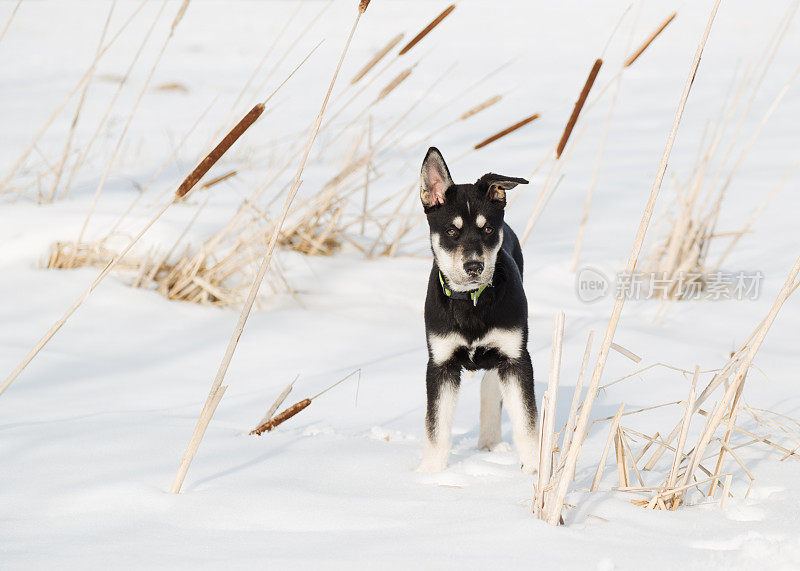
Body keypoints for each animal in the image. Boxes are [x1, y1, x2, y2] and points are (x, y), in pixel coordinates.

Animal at [418, 146, 536, 474]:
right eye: (451, 231)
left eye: (488, 229)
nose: (474, 267)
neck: (471, 301)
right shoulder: (440, 364)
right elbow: (435, 428)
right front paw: (429, 475)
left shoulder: (517, 358)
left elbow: (527, 423)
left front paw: (537, 471)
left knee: (490, 383)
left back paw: (491, 442)